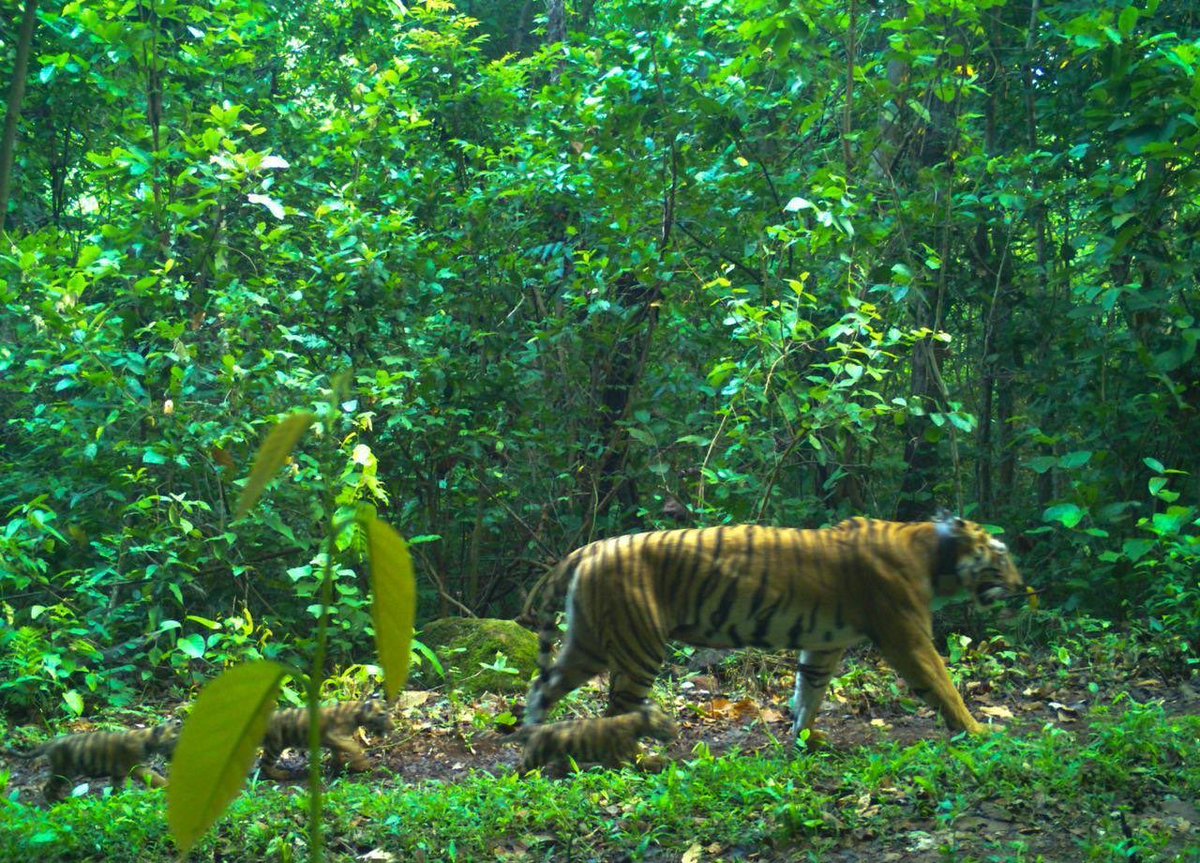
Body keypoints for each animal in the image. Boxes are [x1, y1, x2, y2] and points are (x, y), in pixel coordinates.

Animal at [8, 721, 182, 803]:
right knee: (48, 787)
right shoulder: (137, 767)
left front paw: (116, 798)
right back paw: (59, 802)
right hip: (63, 771)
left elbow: (115, 786)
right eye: (174, 739)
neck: (149, 739)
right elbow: (156, 778)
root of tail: (51, 742)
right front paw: (169, 786)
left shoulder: (118, 773)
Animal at [258, 697, 393, 780]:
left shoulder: (335, 742)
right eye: (382, 715)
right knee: (264, 765)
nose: (393, 726)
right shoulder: (331, 736)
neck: (358, 715)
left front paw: (338, 769)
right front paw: (363, 766)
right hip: (275, 745)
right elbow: (354, 746)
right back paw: (282, 775)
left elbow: (338, 755)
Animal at [518, 703, 679, 774]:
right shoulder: (624, 755)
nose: (677, 734)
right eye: (665, 725)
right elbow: (641, 762)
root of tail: (535, 728)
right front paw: (660, 763)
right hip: (533, 758)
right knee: (519, 769)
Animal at [520, 515, 1024, 745]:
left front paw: (805, 739)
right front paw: (980, 733)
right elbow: (945, 687)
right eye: (1002, 557)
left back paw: (533, 740)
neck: (934, 557)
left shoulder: (825, 644)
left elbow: (810, 693)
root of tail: (590, 548)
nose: (1023, 587)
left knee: (541, 687)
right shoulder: (909, 637)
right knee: (619, 707)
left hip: (588, 642)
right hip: (638, 645)